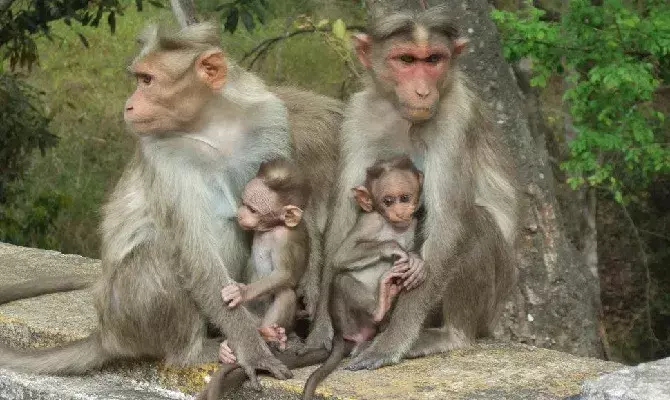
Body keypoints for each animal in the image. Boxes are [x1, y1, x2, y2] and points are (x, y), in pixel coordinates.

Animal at [218, 158, 310, 364]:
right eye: (243, 202)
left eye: (253, 209)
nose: (239, 213)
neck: (272, 228)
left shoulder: (285, 239)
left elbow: (284, 274)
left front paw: (242, 291)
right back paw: (226, 348)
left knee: (285, 293)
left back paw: (269, 334)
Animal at [302, 6, 520, 371]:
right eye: (405, 59)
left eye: (433, 59)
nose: (422, 91)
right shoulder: (358, 115)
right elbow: (343, 222)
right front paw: (321, 330)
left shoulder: (457, 118)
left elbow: (449, 225)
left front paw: (391, 344)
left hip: (492, 302)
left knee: (474, 223)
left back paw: (450, 335)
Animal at [303, 155, 426, 400]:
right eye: (387, 201)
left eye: (404, 197)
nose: (400, 210)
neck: (394, 226)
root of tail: (341, 335)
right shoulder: (372, 221)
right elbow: (341, 255)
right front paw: (394, 248)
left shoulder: (413, 222)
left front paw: (416, 260)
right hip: (349, 320)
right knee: (343, 280)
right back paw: (381, 303)